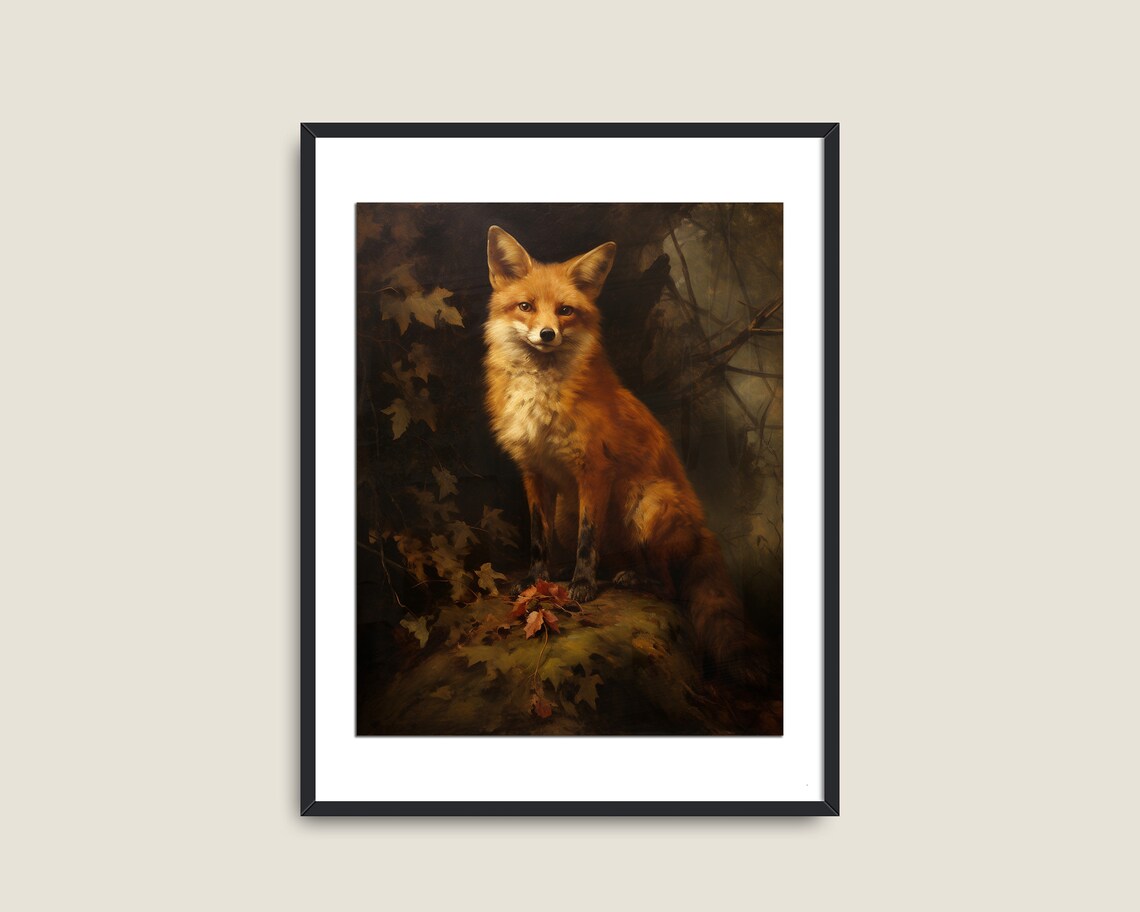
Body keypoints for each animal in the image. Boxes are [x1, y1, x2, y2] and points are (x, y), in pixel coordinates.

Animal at [483, 226, 767, 686]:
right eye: (525, 307)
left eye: (565, 311)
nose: (547, 335)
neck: (541, 395)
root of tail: (704, 531)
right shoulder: (533, 472)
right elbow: (538, 538)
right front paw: (535, 580)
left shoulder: (593, 470)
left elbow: (588, 540)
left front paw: (582, 586)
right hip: (569, 511)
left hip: (645, 504)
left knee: (670, 586)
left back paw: (633, 580)